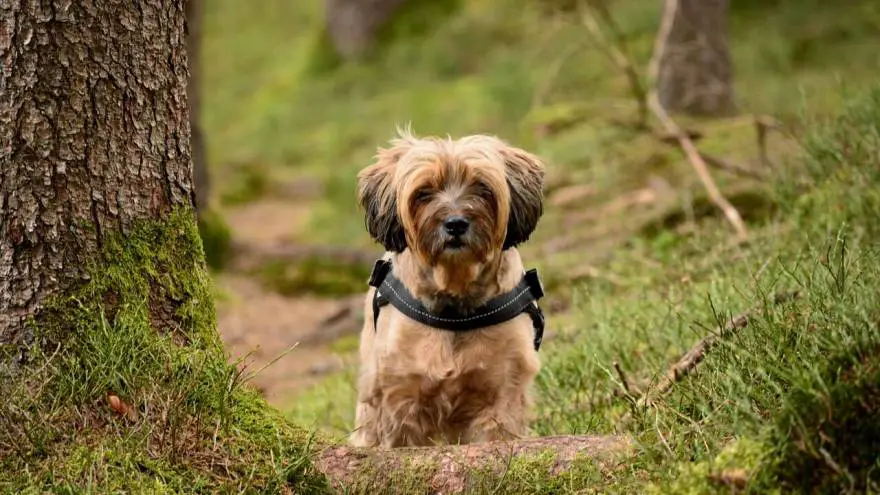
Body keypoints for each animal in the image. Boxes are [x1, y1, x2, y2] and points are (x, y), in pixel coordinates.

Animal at [348, 128, 544, 450]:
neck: (454, 308)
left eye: (482, 188)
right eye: (424, 193)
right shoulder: (401, 395)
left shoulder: (502, 390)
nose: (455, 224)